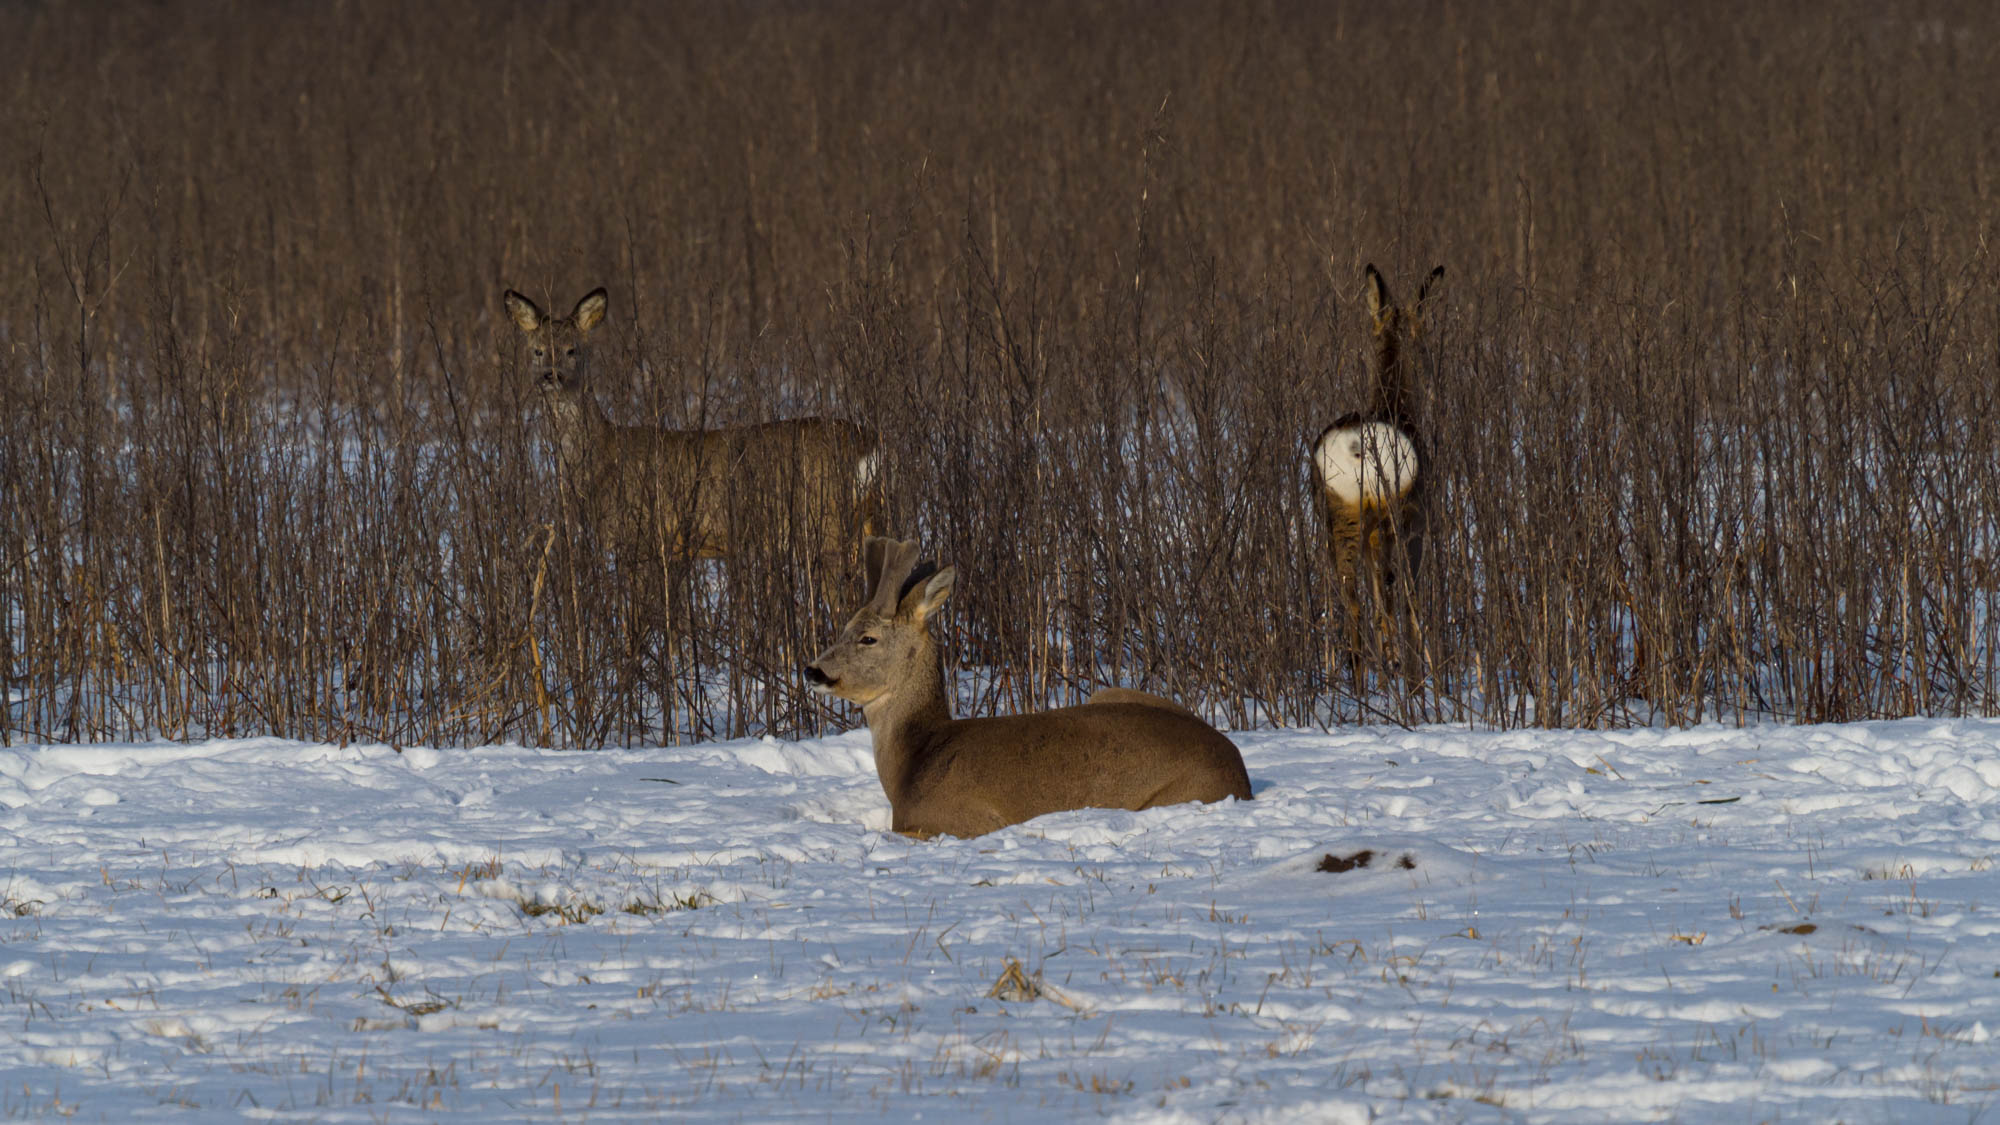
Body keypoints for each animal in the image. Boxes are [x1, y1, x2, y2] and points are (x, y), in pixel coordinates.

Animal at [504, 284, 880, 556]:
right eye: (538, 350)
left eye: (572, 350)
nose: (551, 376)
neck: (602, 457)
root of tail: (867, 443)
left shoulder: (644, 537)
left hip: (827, 522)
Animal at [800, 532, 1248, 832]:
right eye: (845, 627)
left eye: (868, 638)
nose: (812, 670)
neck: (915, 759)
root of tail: (1240, 774)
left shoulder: (962, 819)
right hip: (1111, 692)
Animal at [1312, 262, 1440, 664]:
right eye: (1424, 340)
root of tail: (1356, 445)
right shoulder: (1418, 517)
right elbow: (1407, 598)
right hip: (1391, 512)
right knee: (1390, 590)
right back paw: (1402, 664)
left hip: (1339, 514)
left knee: (1352, 599)